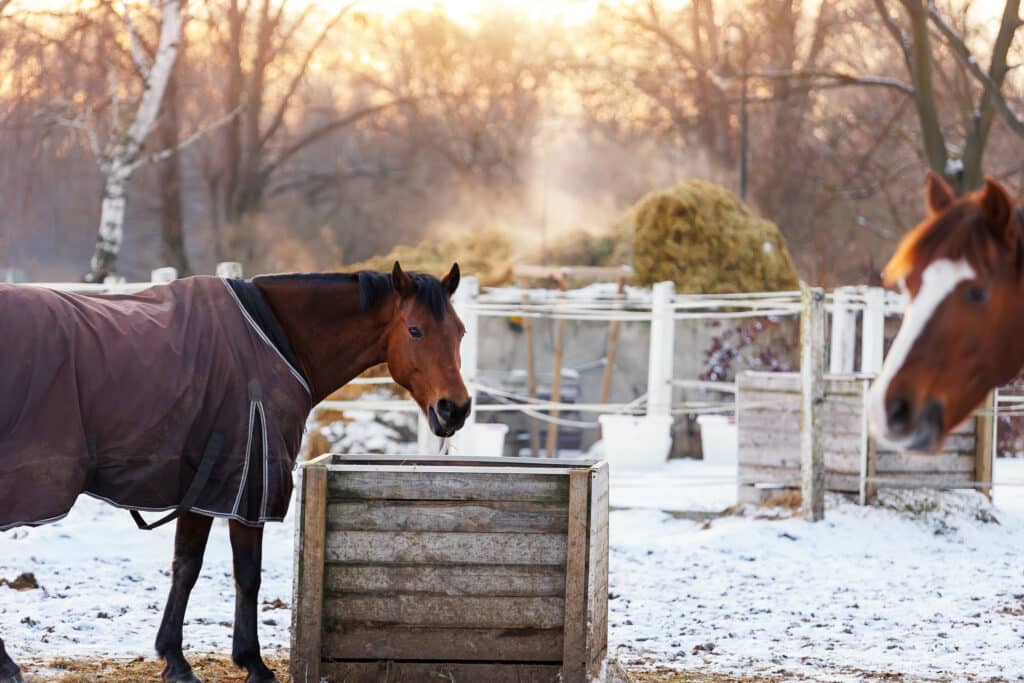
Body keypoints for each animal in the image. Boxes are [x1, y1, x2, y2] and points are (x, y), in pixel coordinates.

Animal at [0, 261, 471, 683]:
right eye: (415, 330)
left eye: (461, 332)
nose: (455, 409)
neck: (276, 335)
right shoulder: (247, 485)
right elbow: (247, 573)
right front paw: (253, 664)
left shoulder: (202, 487)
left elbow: (186, 567)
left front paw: (175, 660)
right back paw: (9, 667)